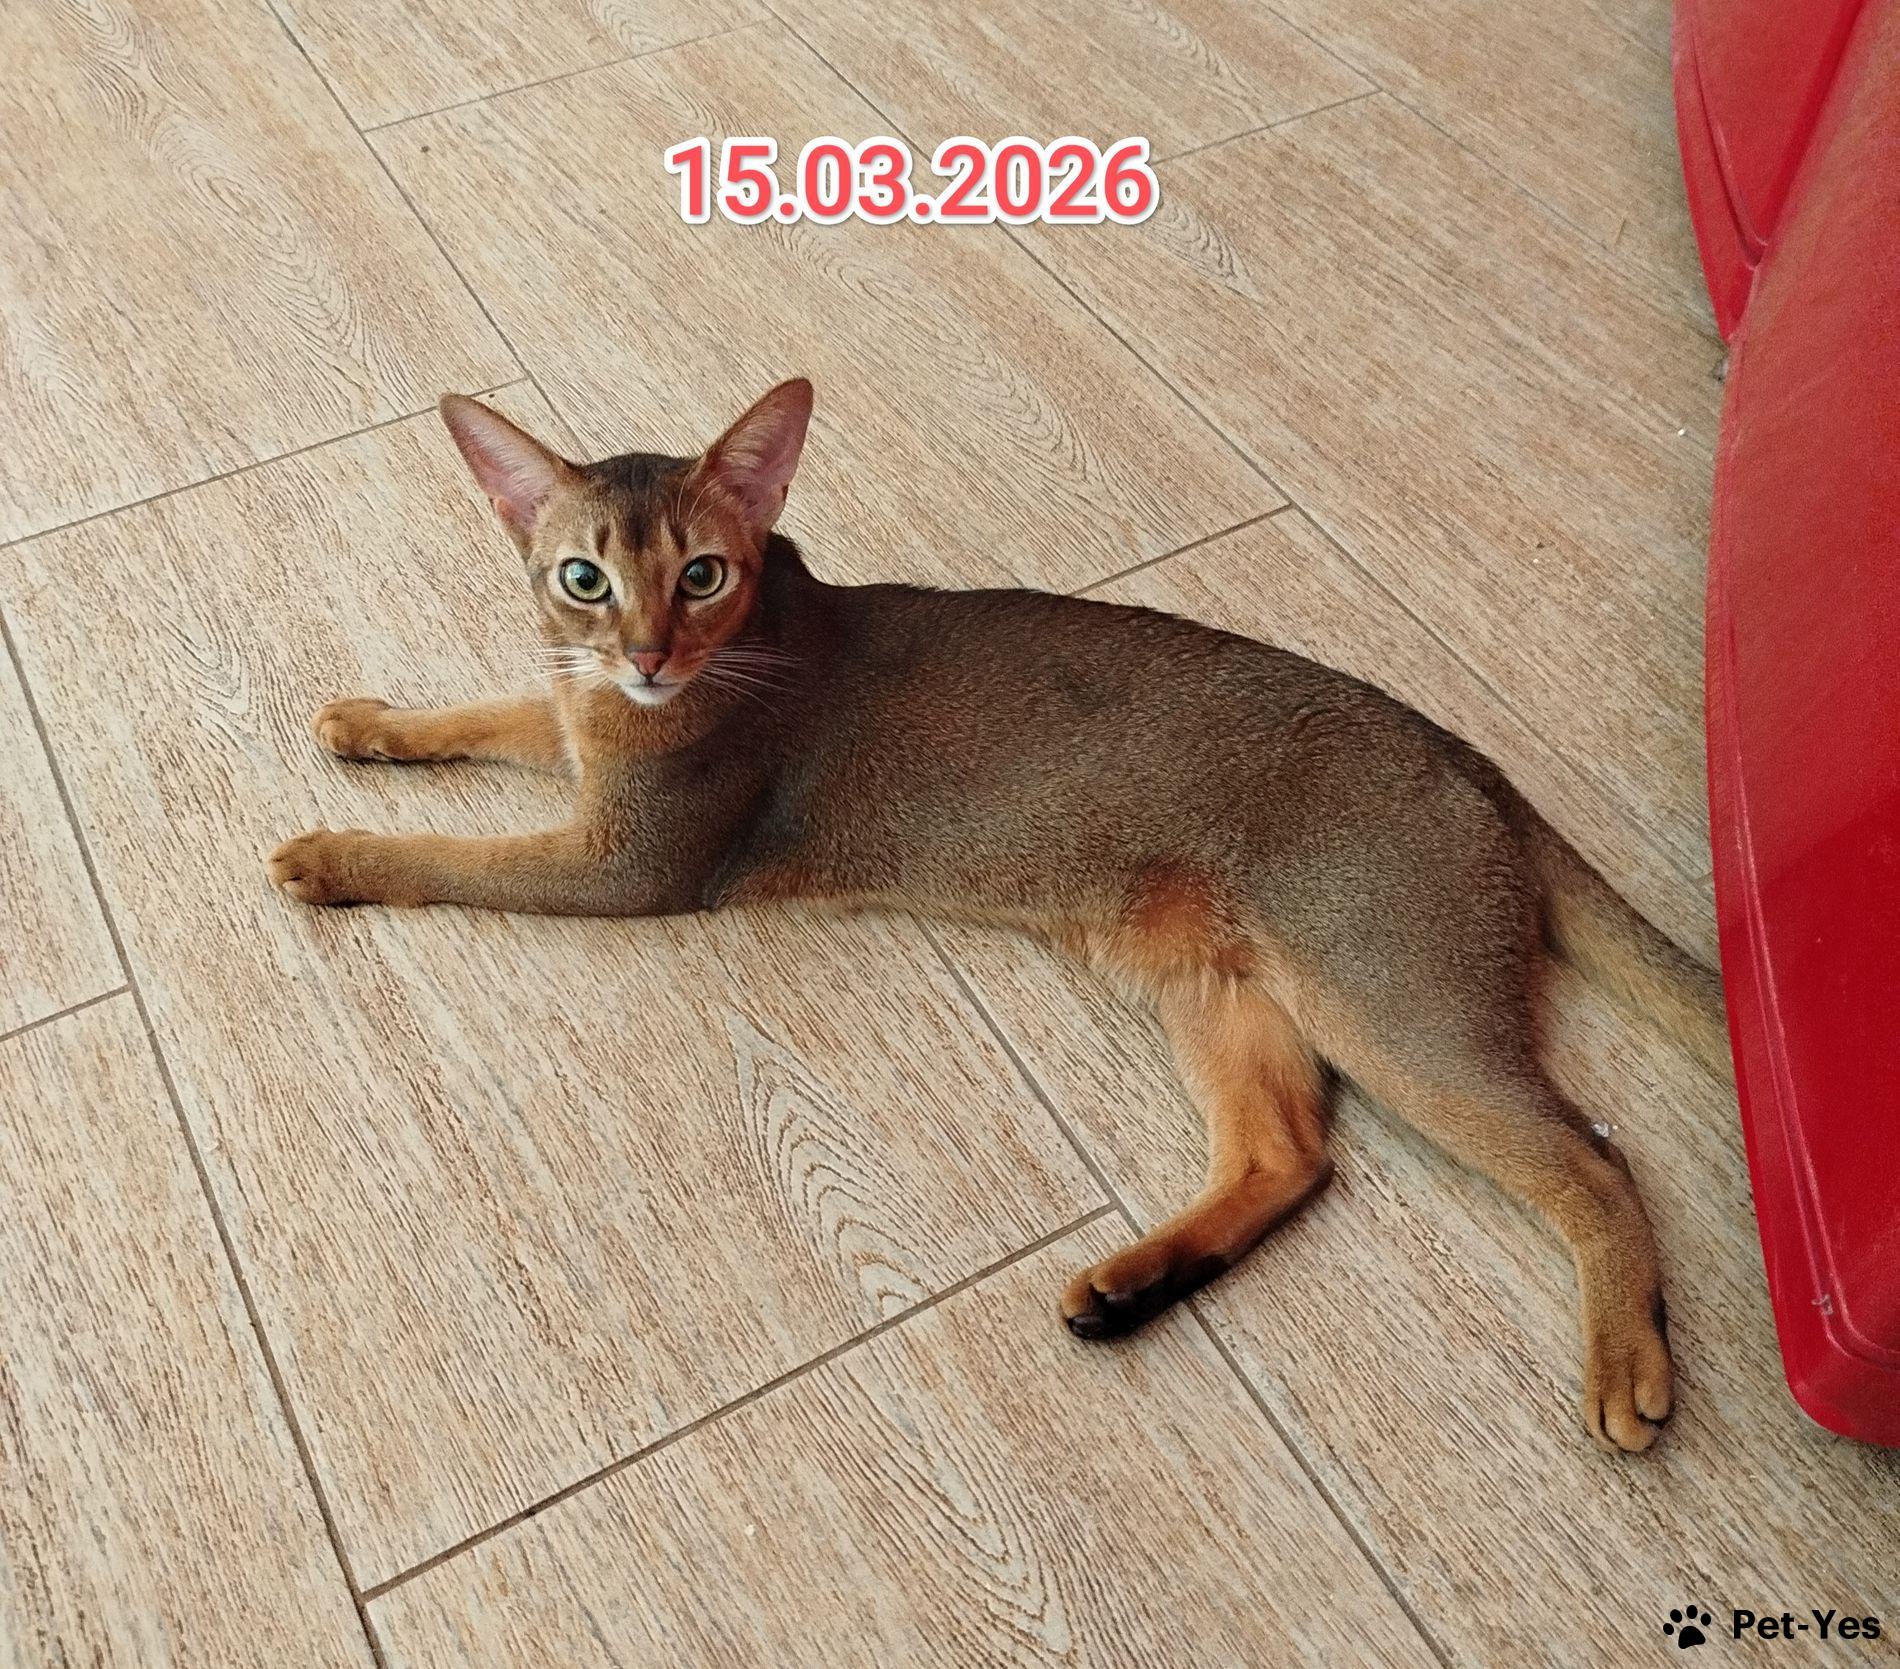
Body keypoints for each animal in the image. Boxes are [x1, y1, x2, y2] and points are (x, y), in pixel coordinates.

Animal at [270, 377, 1726, 1452]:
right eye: (583, 578)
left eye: (700, 576)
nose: (643, 655)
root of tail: (1478, 766)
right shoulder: (587, 751)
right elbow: (503, 711)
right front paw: (373, 721)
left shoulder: (630, 861)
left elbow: (454, 859)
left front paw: (333, 853)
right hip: (1214, 985)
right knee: (1293, 1155)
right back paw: (1131, 1287)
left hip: (1387, 996)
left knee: (1595, 1158)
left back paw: (1626, 1366)